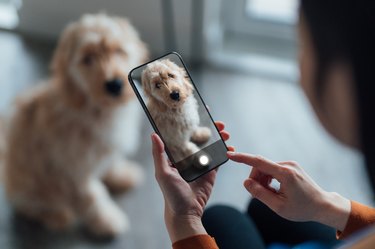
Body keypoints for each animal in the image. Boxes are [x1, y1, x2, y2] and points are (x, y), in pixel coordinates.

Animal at [4, 13, 149, 237]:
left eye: (119, 50)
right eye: (87, 59)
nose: (114, 85)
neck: (97, 109)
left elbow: (113, 161)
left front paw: (121, 175)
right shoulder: (74, 169)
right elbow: (93, 196)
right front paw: (107, 220)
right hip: (30, 187)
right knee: (29, 207)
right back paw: (56, 216)